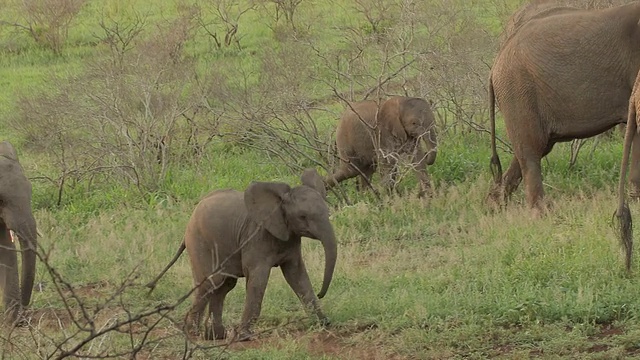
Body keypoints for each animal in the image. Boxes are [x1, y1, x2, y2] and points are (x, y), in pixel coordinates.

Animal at [144, 169, 336, 340]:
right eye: (303, 216)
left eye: (328, 212)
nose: (321, 294)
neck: (279, 201)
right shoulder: (256, 237)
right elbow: (258, 279)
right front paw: (245, 337)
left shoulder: (291, 239)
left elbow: (297, 275)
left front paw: (324, 324)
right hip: (199, 242)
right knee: (210, 284)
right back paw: (193, 333)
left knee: (225, 285)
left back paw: (215, 336)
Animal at [488, 1, 640, 211]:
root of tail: (496, 62)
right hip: (518, 90)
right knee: (530, 152)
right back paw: (541, 214)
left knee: (530, 151)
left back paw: (495, 205)